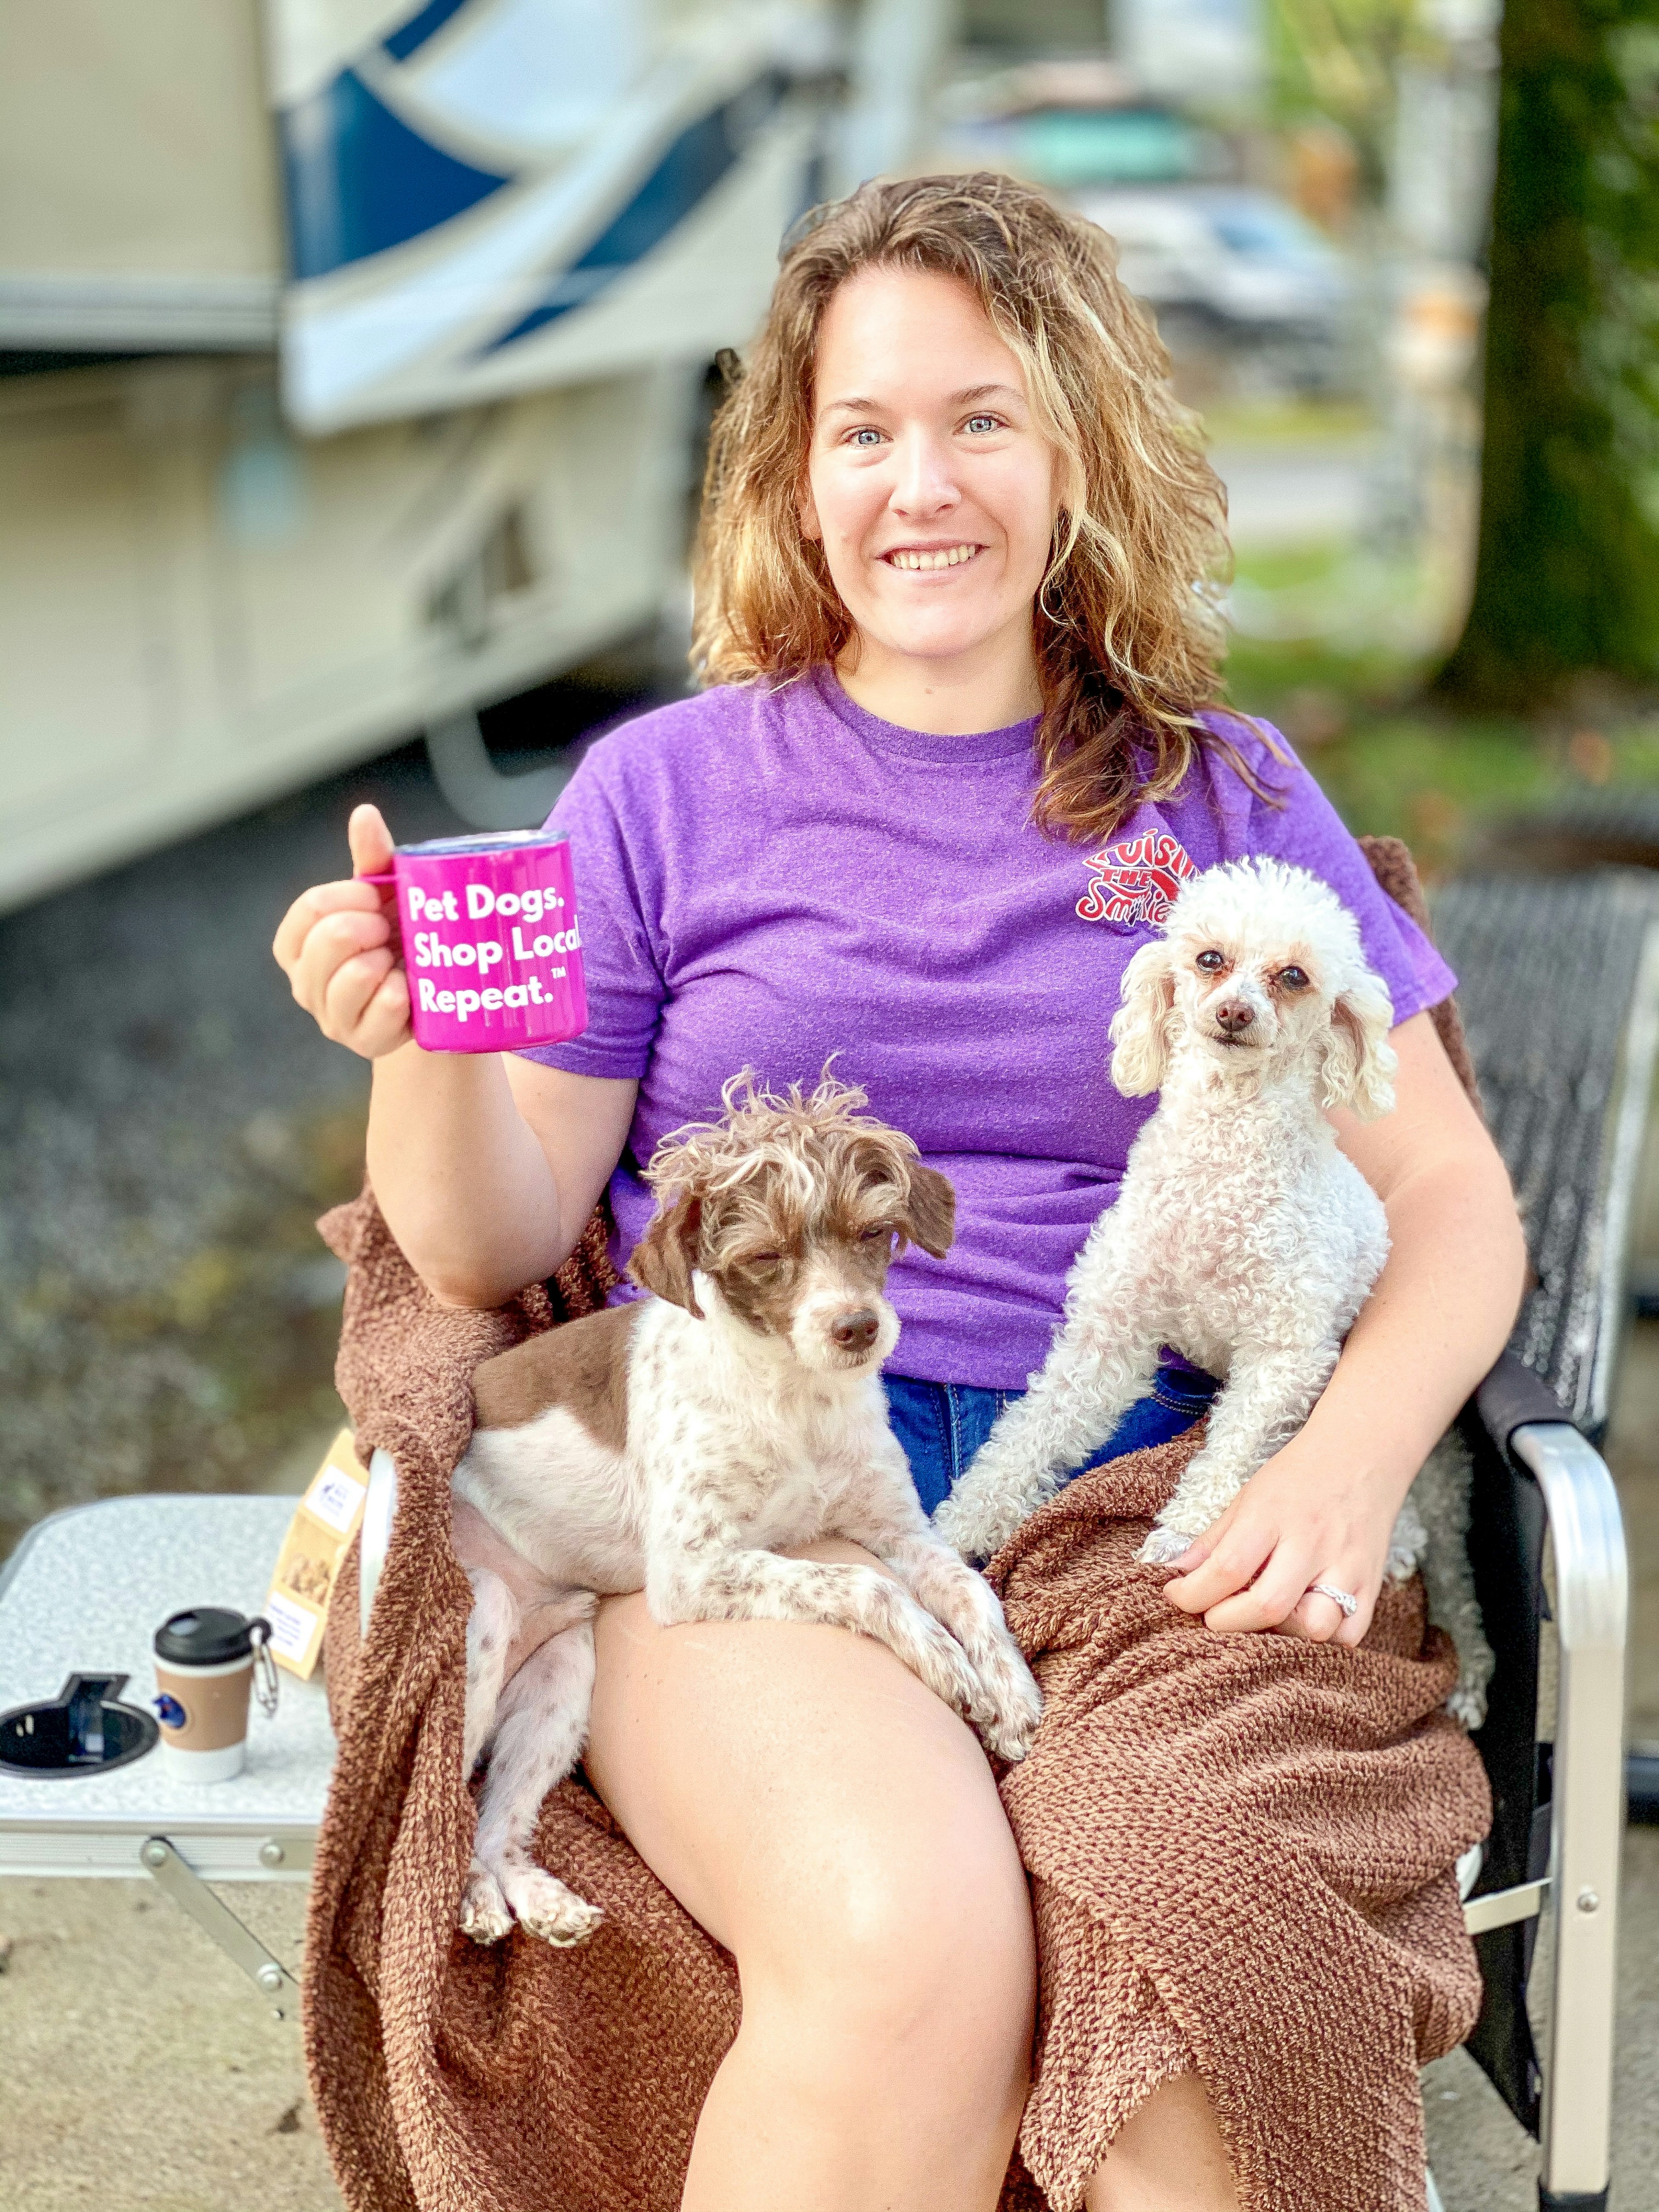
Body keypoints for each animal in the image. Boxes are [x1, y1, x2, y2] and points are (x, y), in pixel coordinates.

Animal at [442, 1071, 1039, 1955]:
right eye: (764, 1258)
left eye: (874, 1233)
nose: (857, 1327)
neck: (796, 1399)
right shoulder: (694, 1570)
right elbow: (866, 1587)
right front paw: (945, 1662)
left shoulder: (898, 1528)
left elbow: (971, 1591)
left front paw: (1010, 1689)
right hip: (482, 1619)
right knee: (449, 1806)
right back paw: (477, 1901)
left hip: (562, 1679)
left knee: (496, 1819)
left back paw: (540, 1904)